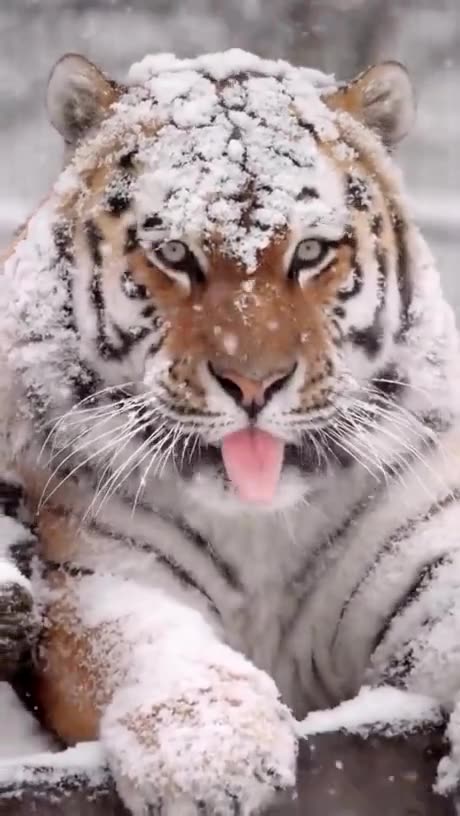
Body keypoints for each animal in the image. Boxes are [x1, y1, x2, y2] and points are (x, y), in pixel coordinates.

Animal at [1, 47, 460, 815]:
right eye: (174, 254)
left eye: (311, 252)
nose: (254, 384)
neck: (262, 520)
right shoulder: (94, 574)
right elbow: (143, 643)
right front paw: (208, 761)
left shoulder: (419, 552)